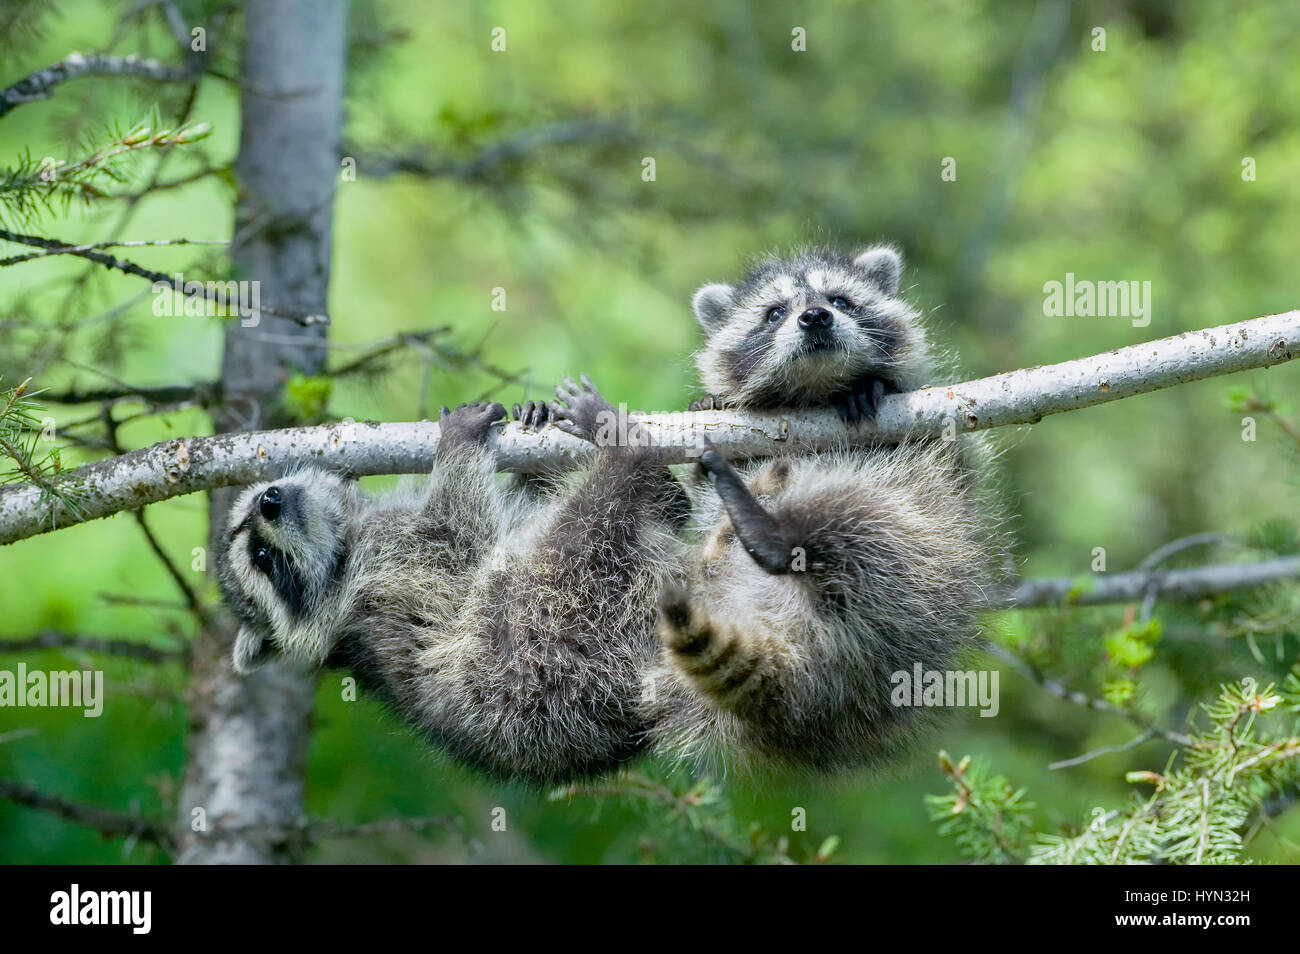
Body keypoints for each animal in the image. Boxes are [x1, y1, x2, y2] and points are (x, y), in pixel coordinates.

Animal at [220, 389, 691, 785]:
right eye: (260, 556)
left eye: (254, 511)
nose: (270, 500)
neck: (345, 539)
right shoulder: (392, 557)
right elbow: (461, 529)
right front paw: (457, 445)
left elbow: (517, 503)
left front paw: (534, 441)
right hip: (551, 630)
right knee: (580, 530)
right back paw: (627, 456)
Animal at [644, 246, 998, 779]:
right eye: (774, 313)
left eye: (840, 299)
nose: (814, 316)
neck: (814, 391)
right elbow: (698, 489)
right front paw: (710, 407)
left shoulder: (940, 445)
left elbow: (948, 453)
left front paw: (869, 385)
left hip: (912, 561)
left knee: (848, 518)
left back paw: (770, 536)